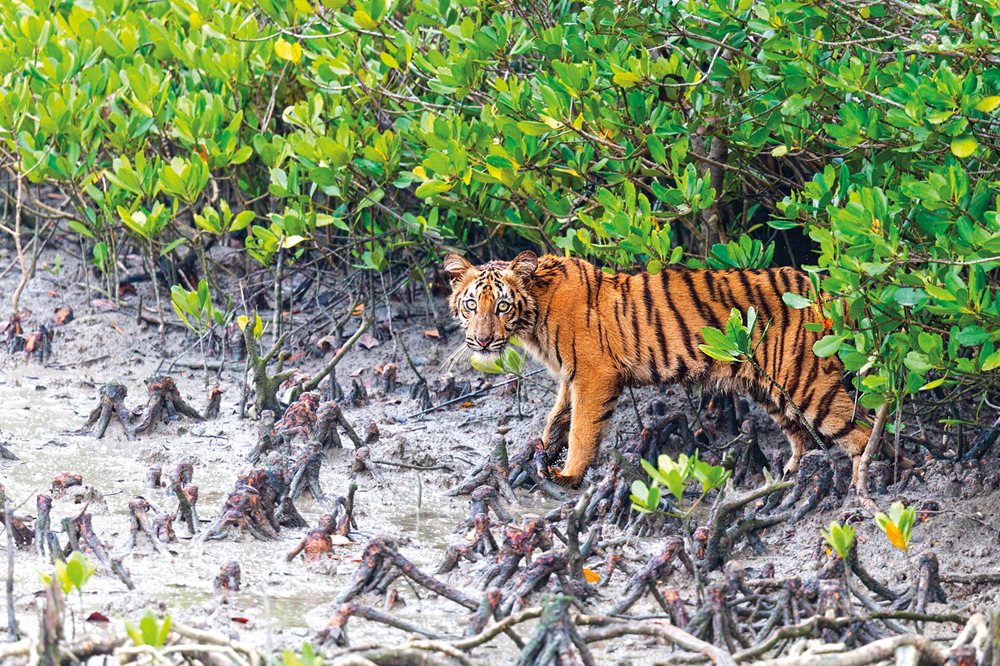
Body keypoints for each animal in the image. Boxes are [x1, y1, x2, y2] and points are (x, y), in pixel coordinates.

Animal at [446, 249, 876, 482]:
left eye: (502, 306)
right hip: (771, 387)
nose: (482, 340)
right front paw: (541, 455)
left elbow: (582, 428)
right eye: (472, 305)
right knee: (801, 434)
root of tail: (830, 292)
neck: (533, 315)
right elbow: (557, 420)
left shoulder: (593, 373)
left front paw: (568, 476)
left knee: (864, 432)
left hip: (808, 383)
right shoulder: (571, 375)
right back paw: (790, 475)